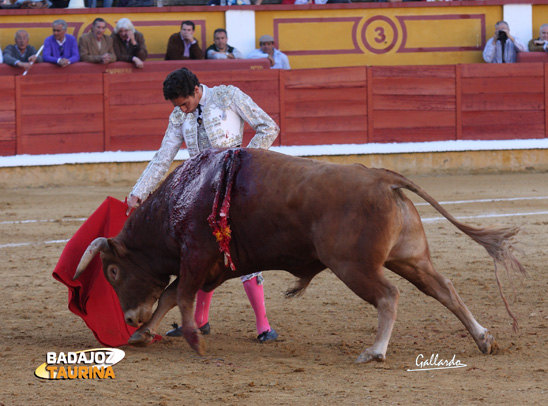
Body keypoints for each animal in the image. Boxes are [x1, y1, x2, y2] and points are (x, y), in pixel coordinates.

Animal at [74, 147, 524, 364]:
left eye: (112, 271)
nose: (129, 316)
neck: (181, 198)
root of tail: (383, 177)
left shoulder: (196, 258)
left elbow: (178, 296)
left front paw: (190, 341)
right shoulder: (206, 267)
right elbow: (170, 296)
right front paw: (143, 334)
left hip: (353, 266)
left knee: (388, 296)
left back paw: (375, 351)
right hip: (410, 257)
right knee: (443, 288)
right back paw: (484, 339)